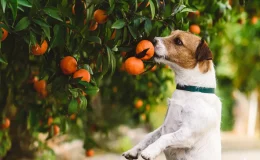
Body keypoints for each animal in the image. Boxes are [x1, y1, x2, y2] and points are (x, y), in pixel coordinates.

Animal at [122, 30, 221, 160]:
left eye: (178, 41)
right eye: (171, 33)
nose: (153, 40)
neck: (191, 90)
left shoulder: (187, 133)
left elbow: (165, 137)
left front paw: (149, 151)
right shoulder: (162, 128)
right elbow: (148, 137)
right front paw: (133, 151)